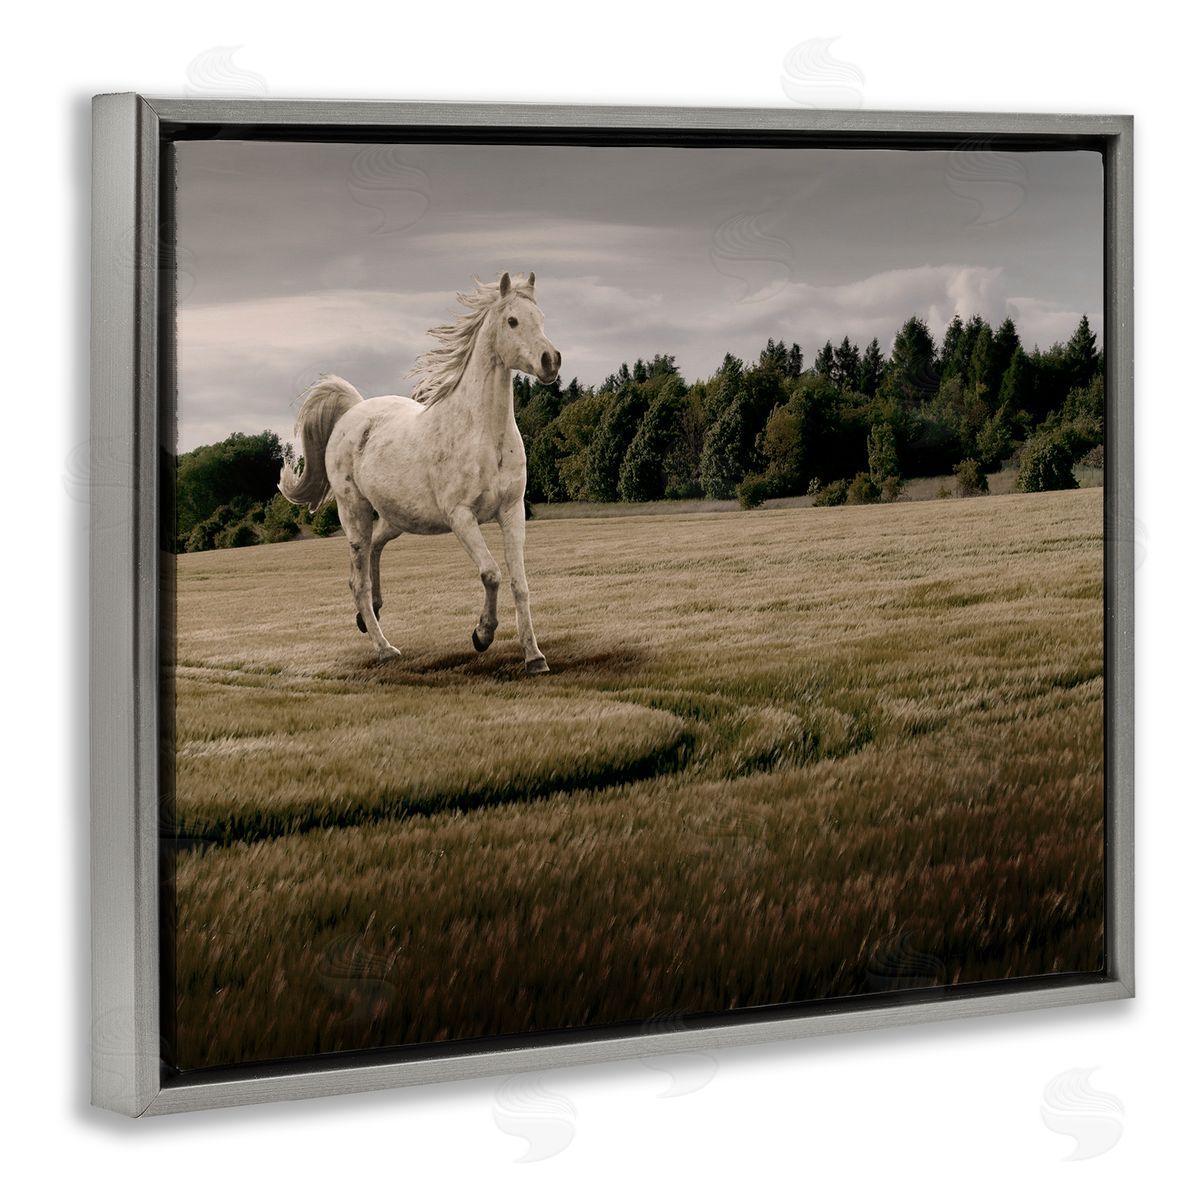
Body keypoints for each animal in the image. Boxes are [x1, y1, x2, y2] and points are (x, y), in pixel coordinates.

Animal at [278, 271, 561, 673]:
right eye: (512, 321)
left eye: (541, 319)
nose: (551, 361)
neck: (482, 433)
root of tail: (353, 412)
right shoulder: (461, 517)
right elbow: (491, 573)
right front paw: (482, 635)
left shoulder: (512, 510)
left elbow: (519, 583)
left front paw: (534, 657)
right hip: (355, 514)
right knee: (357, 580)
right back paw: (384, 647)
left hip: (398, 518)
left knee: (375, 550)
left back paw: (371, 614)